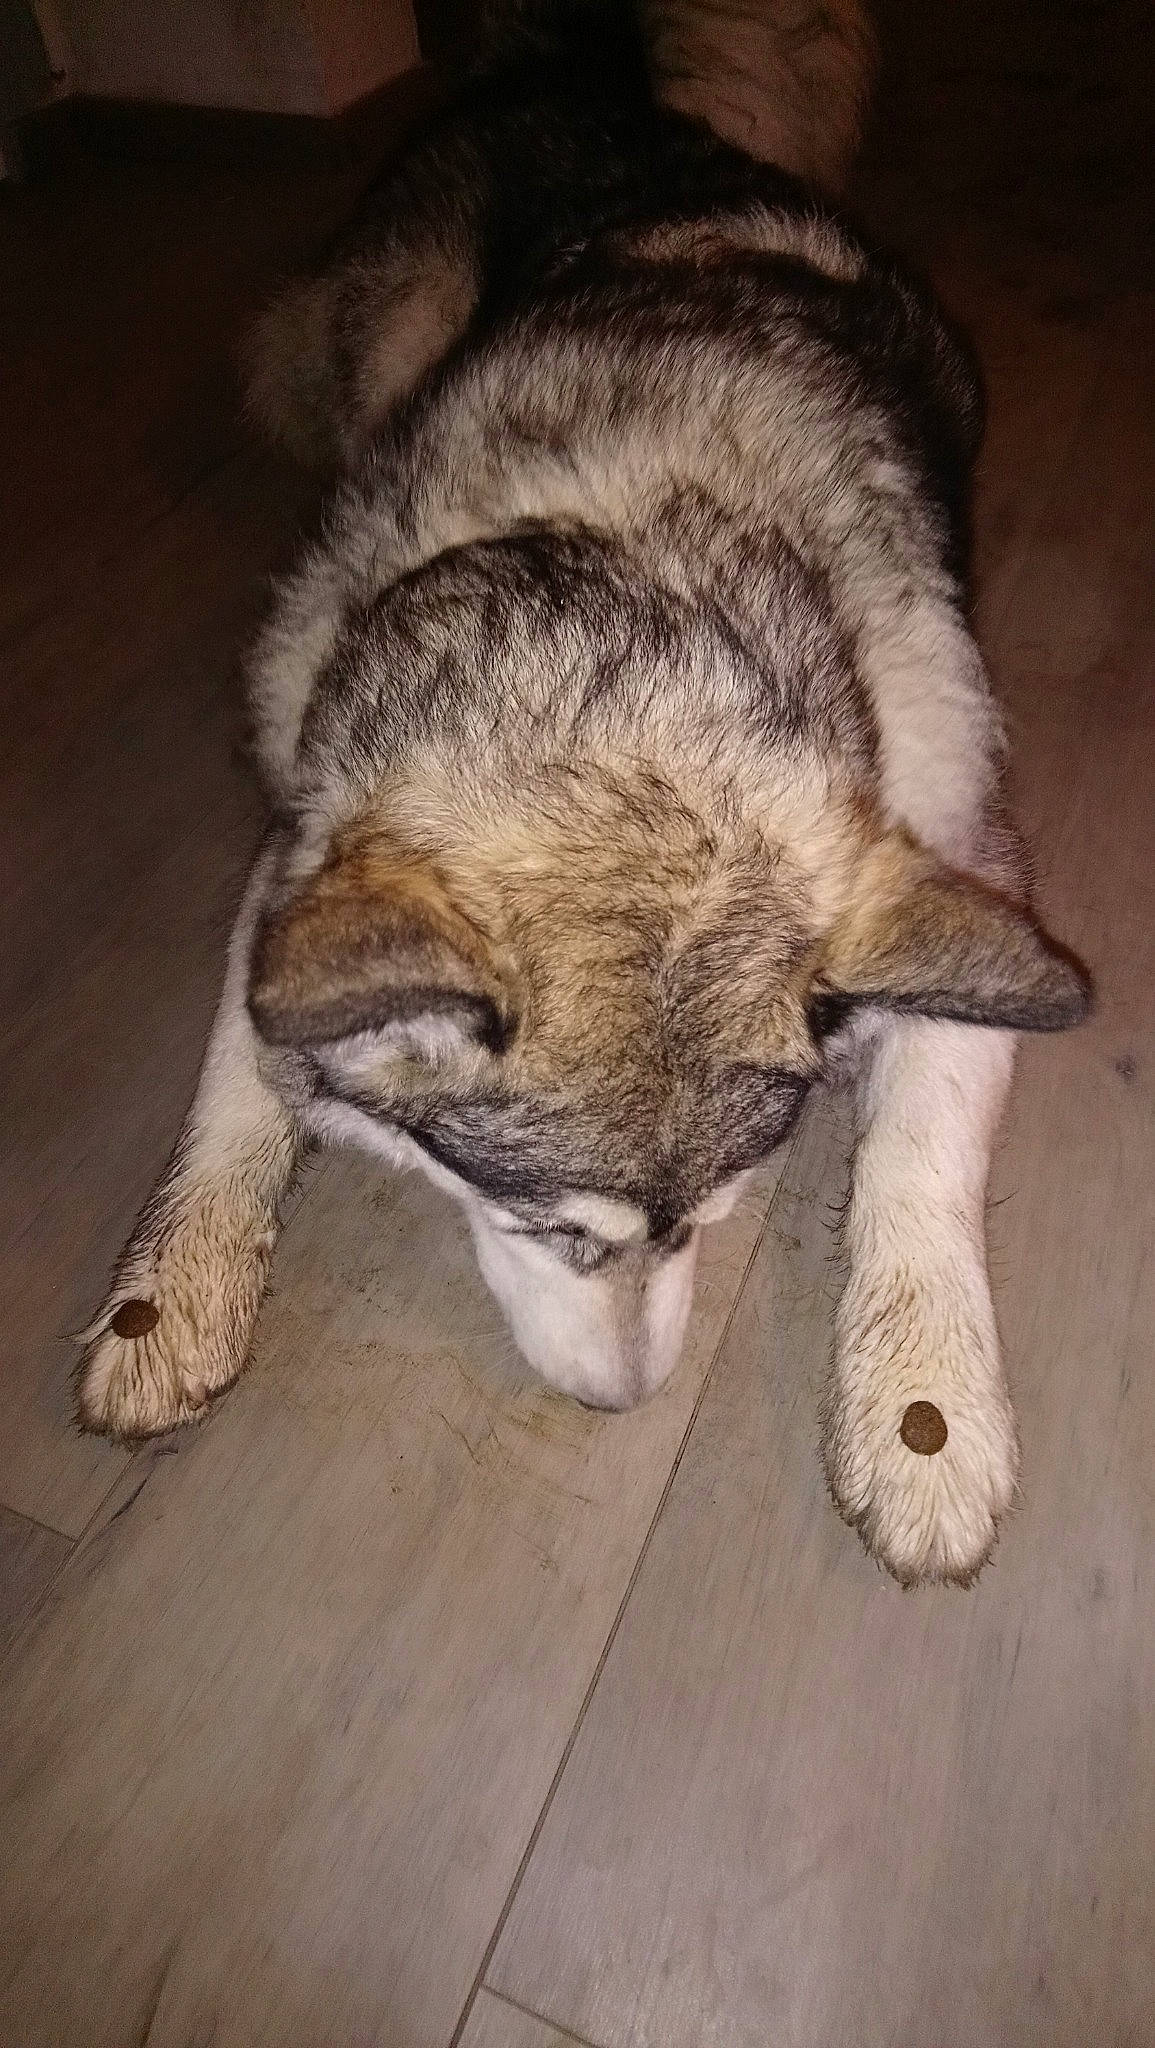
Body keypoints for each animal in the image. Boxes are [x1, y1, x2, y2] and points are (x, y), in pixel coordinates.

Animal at [77, 0, 1090, 1587]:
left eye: (712, 1223)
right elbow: (239, 1066)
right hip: (391, 326)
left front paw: (922, 1410)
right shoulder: (307, 832)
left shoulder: (953, 840)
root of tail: (600, 69)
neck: (615, 565)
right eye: (555, 1232)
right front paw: (167, 1286)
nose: (624, 1402)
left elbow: (919, 1147)